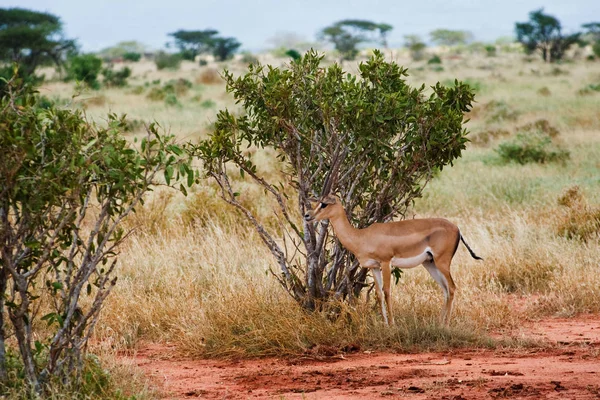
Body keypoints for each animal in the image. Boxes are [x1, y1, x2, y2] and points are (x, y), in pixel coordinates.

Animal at [304, 195, 482, 328]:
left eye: (324, 204)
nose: (307, 215)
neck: (362, 237)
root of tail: (457, 228)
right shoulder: (374, 267)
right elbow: (378, 294)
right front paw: (385, 325)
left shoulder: (386, 262)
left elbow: (387, 291)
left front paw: (393, 325)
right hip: (430, 264)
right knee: (445, 289)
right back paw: (438, 324)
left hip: (442, 262)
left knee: (452, 287)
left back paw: (445, 325)